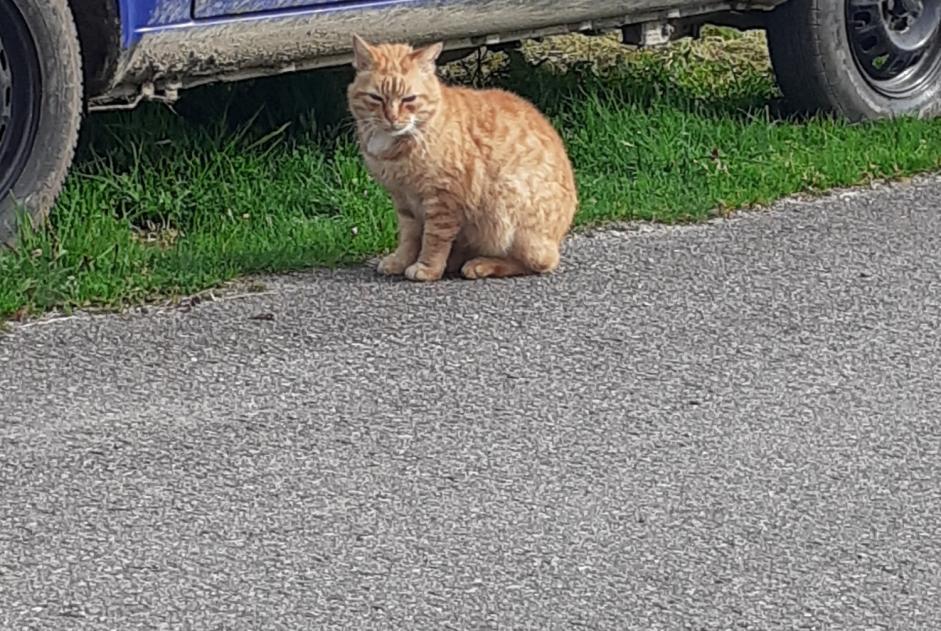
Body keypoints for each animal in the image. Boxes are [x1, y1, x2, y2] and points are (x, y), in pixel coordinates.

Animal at [348, 34, 576, 282]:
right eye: (376, 98)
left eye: (409, 99)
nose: (392, 118)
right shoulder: (403, 199)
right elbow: (409, 237)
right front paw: (400, 260)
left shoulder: (443, 199)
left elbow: (433, 239)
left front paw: (427, 267)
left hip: (506, 202)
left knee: (541, 262)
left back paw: (481, 264)